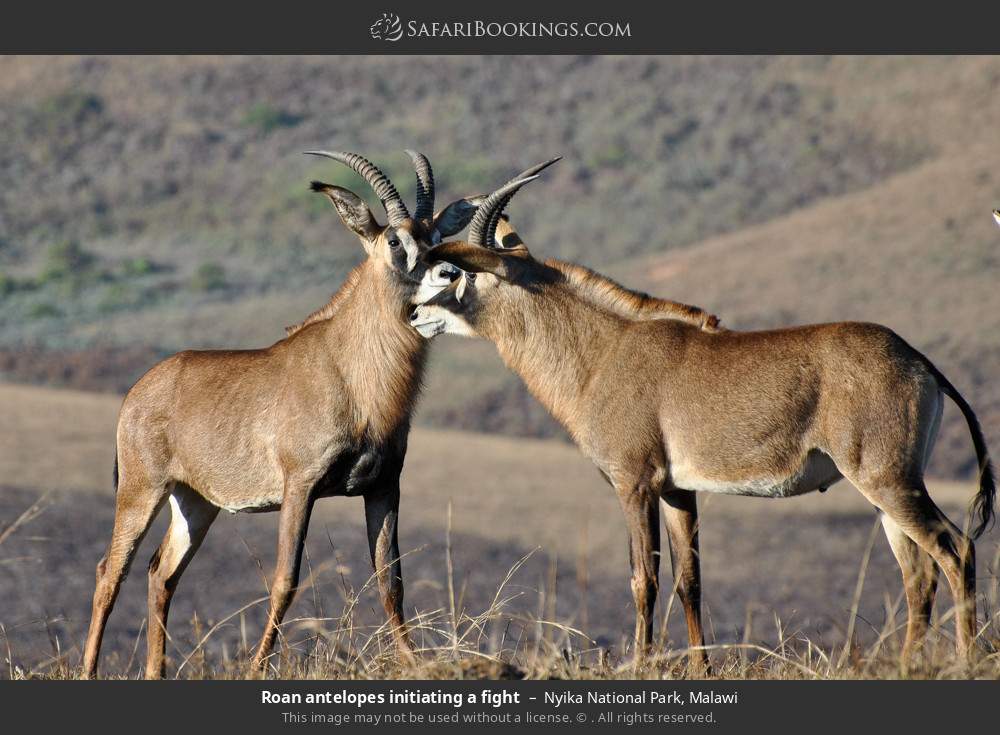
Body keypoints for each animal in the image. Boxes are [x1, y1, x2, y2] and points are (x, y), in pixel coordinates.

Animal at [81, 150, 508, 679]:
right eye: (394, 239)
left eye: (435, 236)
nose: (449, 273)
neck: (350, 372)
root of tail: (138, 392)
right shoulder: (300, 486)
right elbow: (286, 579)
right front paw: (256, 668)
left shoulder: (384, 487)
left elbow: (391, 580)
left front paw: (413, 662)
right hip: (142, 491)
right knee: (110, 570)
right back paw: (87, 671)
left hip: (194, 502)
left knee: (162, 572)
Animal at [411, 171, 996, 666]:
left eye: (454, 272)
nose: (415, 314)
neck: (601, 352)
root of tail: (920, 362)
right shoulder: (677, 490)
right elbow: (688, 579)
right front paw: (699, 668)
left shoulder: (634, 484)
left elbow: (643, 579)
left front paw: (642, 666)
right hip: (884, 492)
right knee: (918, 574)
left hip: (889, 480)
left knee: (955, 550)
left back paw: (966, 660)